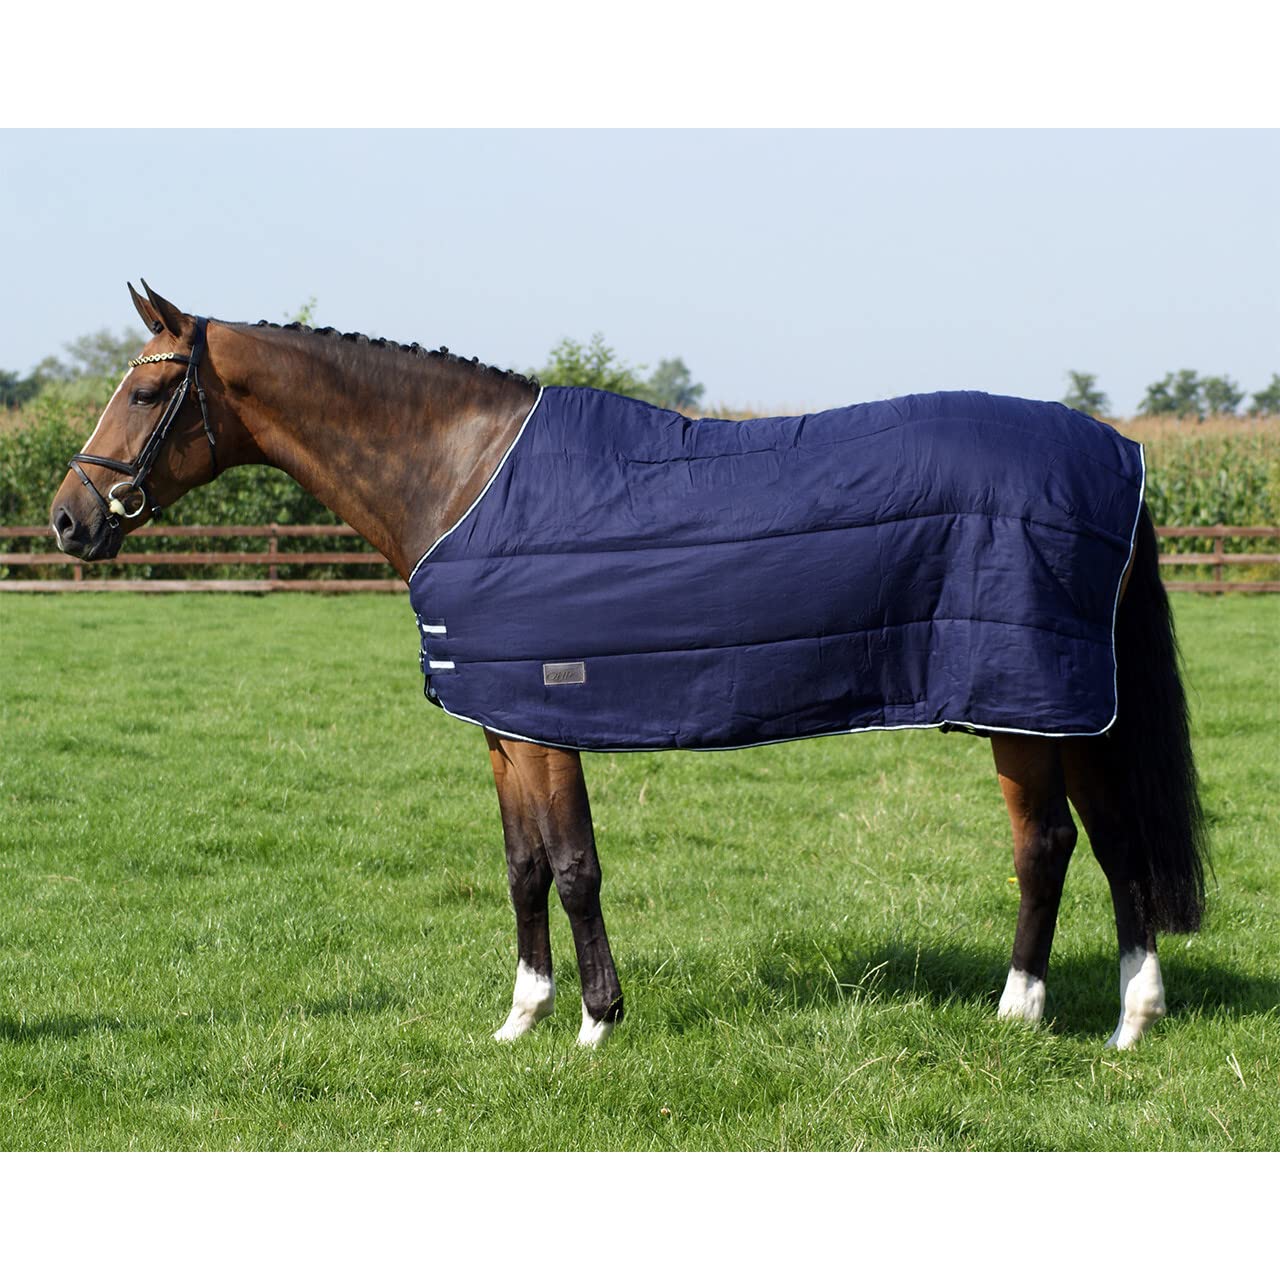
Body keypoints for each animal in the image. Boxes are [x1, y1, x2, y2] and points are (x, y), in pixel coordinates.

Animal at [49, 282, 1207, 1051]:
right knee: (1099, 844)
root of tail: (1116, 453)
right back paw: (1105, 1014)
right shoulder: (501, 724)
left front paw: (597, 1023)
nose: (66, 519)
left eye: (147, 396)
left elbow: (573, 865)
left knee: (1058, 844)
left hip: (1029, 703)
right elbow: (521, 865)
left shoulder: (545, 713)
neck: (465, 476)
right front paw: (521, 1016)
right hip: (1061, 707)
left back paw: (1048, 1014)